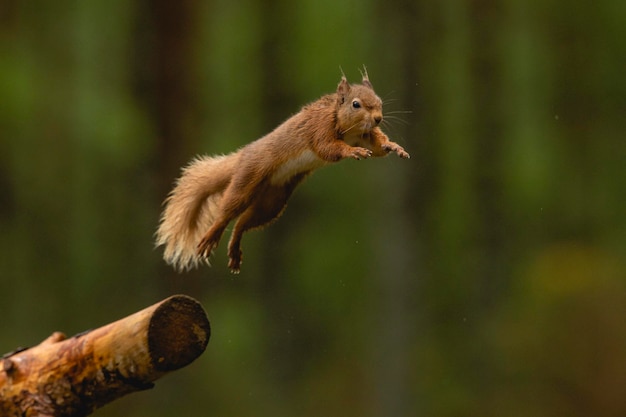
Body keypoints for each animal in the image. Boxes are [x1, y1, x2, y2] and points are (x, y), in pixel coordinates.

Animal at [156, 70, 410, 272]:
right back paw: (211, 236)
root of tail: (243, 155)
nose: (378, 118)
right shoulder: (319, 129)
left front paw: (393, 146)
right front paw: (352, 151)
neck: (348, 127)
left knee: (242, 223)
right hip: (246, 180)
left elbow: (378, 147)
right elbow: (328, 148)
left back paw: (235, 250)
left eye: (379, 102)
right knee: (227, 212)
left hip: (273, 200)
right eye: (356, 104)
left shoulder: (365, 135)